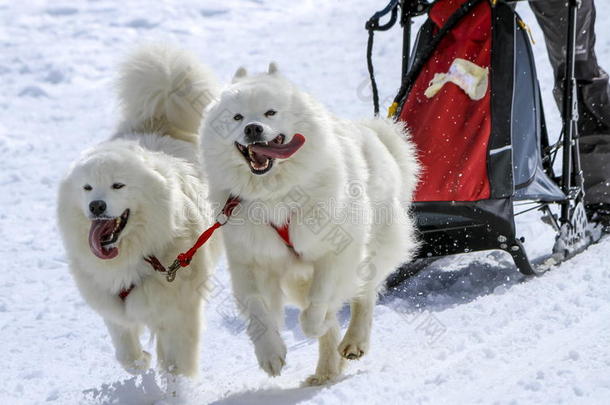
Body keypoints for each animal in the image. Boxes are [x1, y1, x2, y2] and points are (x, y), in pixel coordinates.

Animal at [57, 45, 221, 378]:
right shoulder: (112, 305)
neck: (137, 256)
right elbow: (126, 352)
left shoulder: (179, 310)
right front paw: (141, 361)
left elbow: (177, 363)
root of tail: (159, 119)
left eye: (118, 185)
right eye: (87, 188)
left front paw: (176, 384)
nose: (96, 206)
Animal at [200, 64, 418, 386]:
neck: (274, 196)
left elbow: (320, 303)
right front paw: (270, 354)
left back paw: (354, 342)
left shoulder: (334, 253)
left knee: (365, 294)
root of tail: (377, 135)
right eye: (237, 117)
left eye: (270, 113)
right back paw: (326, 370)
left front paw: (315, 323)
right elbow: (258, 310)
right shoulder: (252, 261)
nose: (252, 128)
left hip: (374, 246)